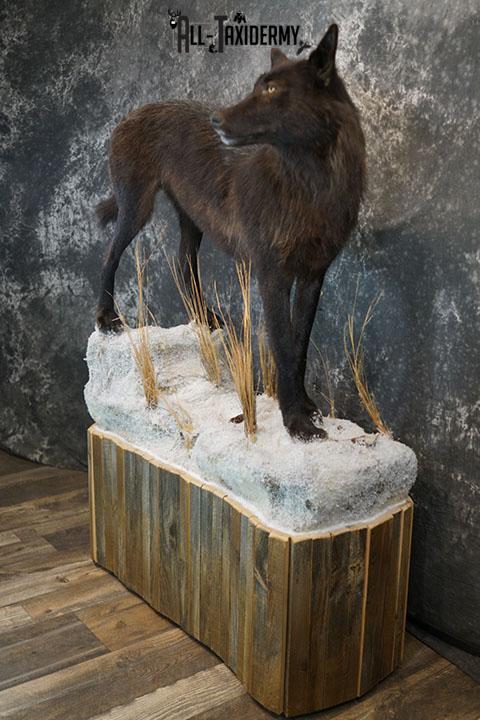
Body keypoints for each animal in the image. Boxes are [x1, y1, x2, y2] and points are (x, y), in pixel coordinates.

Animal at [95, 24, 366, 440]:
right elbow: (283, 347)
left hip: (191, 220)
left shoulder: (313, 276)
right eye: (257, 85)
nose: (216, 120)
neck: (310, 186)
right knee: (110, 254)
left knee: (183, 265)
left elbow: (300, 346)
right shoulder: (272, 275)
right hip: (136, 210)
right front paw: (295, 422)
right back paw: (106, 318)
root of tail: (134, 111)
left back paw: (205, 320)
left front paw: (306, 408)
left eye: (272, 89)